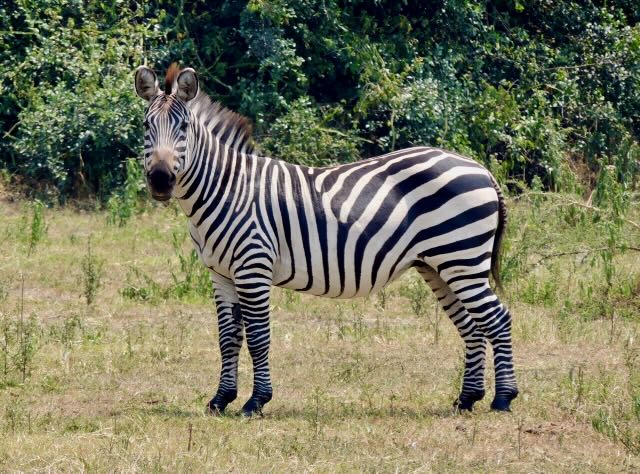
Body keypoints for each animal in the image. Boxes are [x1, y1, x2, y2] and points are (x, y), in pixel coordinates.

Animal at [134, 63, 519, 416]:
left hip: (461, 259)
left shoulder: (253, 267)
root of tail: (480, 168)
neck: (227, 188)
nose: (161, 179)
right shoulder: (221, 274)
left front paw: (256, 402)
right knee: (471, 326)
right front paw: (220, 399)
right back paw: (467, 399)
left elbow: (258, 337)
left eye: (184, 127)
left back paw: (503, 399)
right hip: (438, 265)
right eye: (147, 127)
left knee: (498, 318)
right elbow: (228, 339)